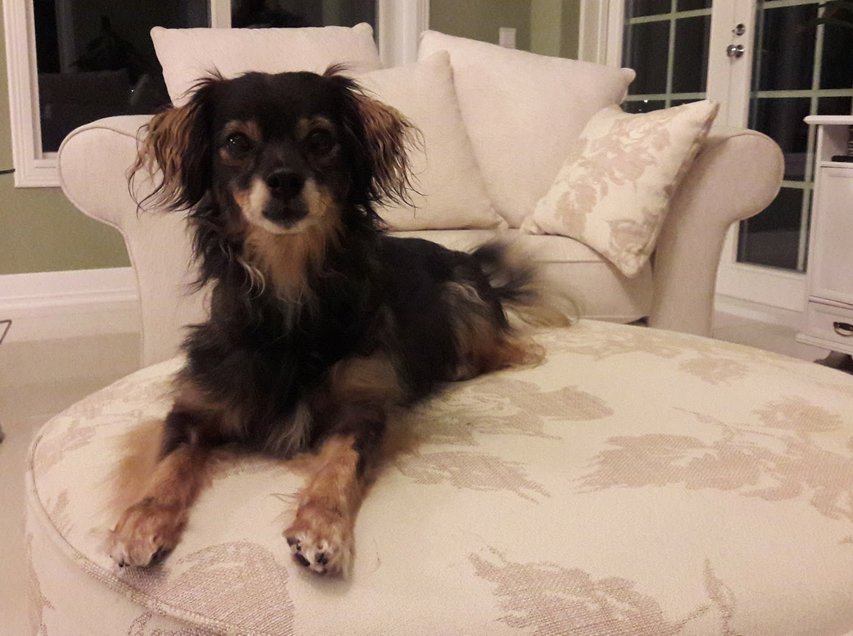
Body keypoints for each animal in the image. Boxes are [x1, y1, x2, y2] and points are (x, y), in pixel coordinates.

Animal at [110, 67, 571, 577]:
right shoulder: (194, 405)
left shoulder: (362, 406)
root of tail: (469, 263)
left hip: (460, 293)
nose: (285, 180)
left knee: (510, 348)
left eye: (320, 139)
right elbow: (168, 464)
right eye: (236, 142)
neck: (291, 291)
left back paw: (477, 359)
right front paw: (141, 523)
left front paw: (321, 527)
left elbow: (338, 465)